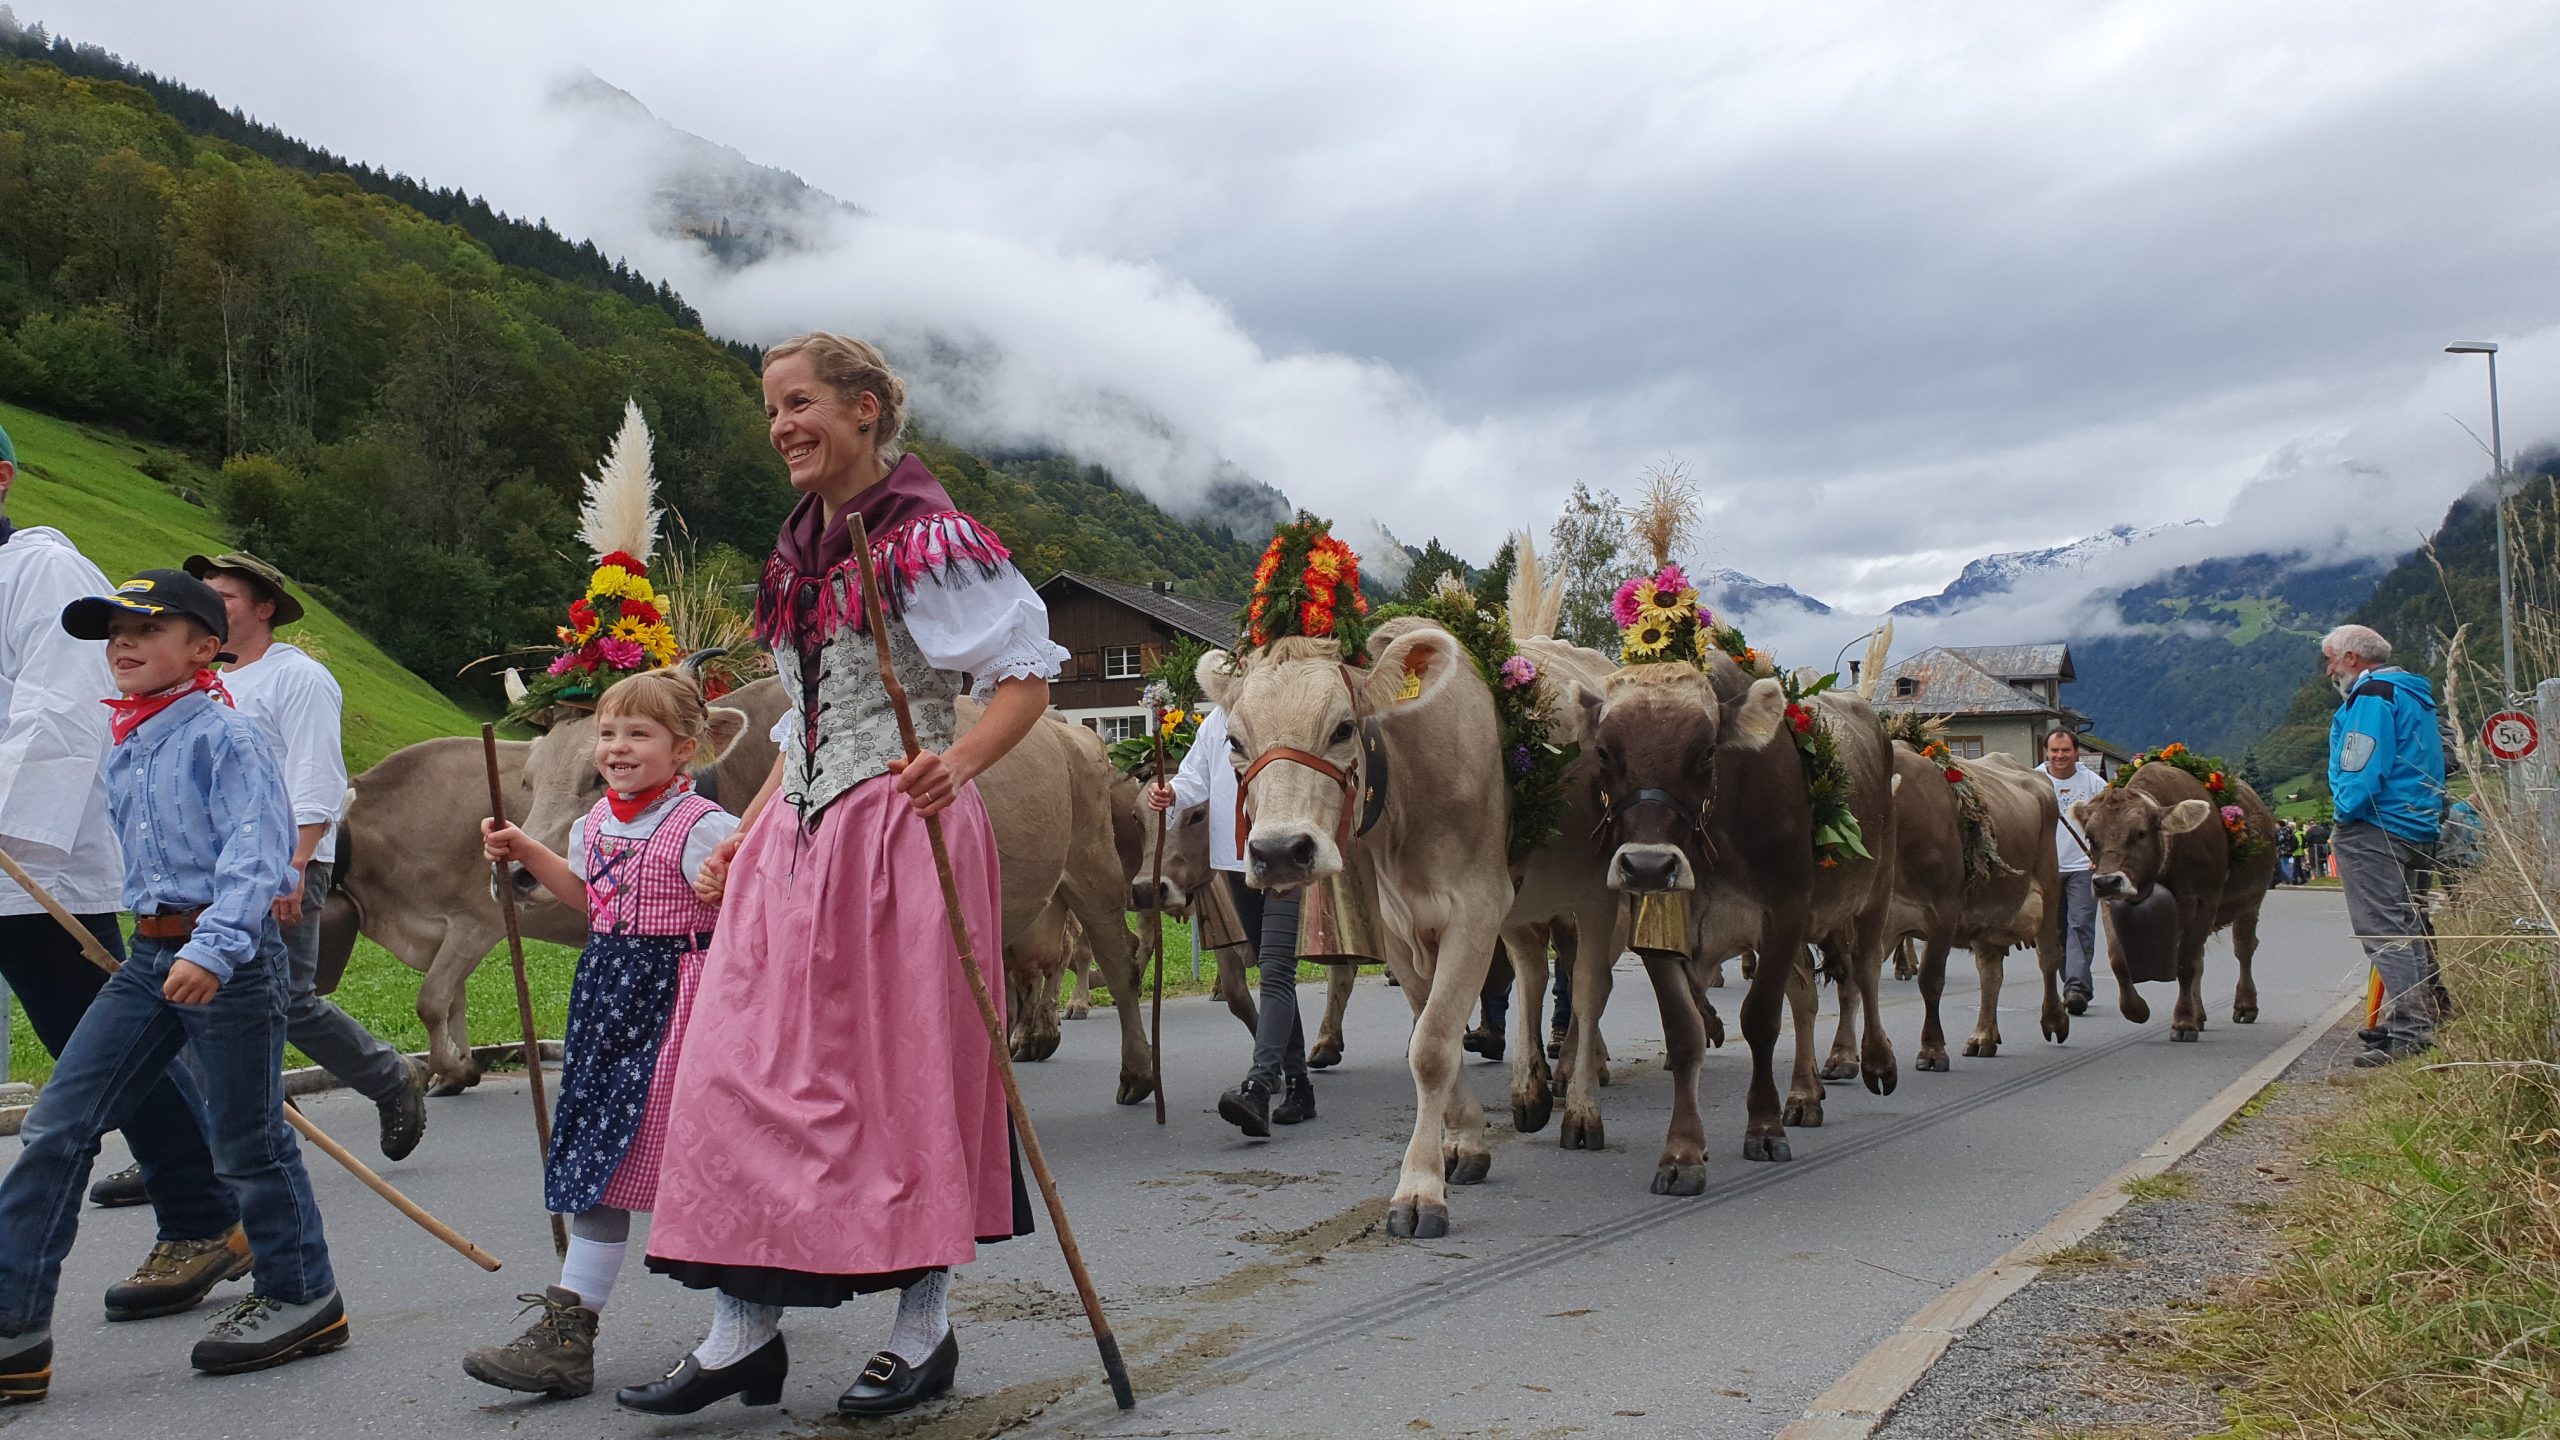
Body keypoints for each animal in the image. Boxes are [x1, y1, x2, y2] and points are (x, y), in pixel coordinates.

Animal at [2068, 763, 2273, 1030]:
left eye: (2140, 833)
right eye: (2090, 837)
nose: (2106, 882)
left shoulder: (2203, 900)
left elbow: (2185, 963)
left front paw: (2184, 1021)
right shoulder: (2109, 903)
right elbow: (2118, 960)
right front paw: (2136, 1010)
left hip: (2251, 902)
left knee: (2244, 949)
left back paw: (2245, 1005)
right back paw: (2199, 1014)